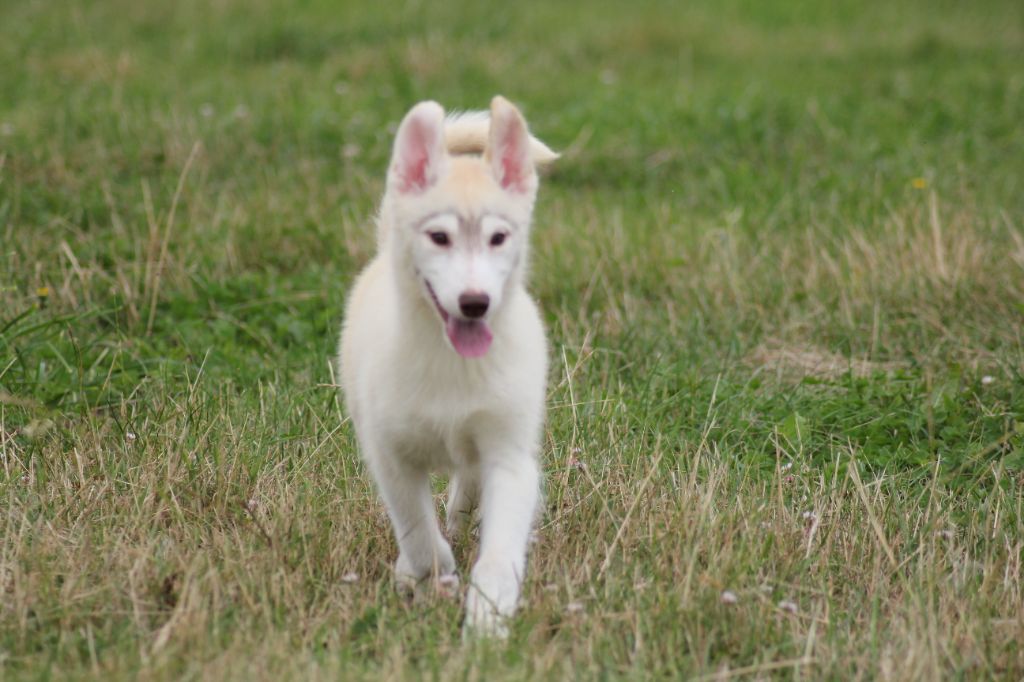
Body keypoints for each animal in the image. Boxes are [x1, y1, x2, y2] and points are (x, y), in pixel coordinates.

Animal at [337, 94, 557, 630]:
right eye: (439, 237)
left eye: (498, 238)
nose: (475, 303)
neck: (452, 364)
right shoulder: (392, 458)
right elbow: (418, 532)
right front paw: (432, 574)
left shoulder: (510, 457)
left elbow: (499, 551)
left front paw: (487, 619)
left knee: (467, 490)